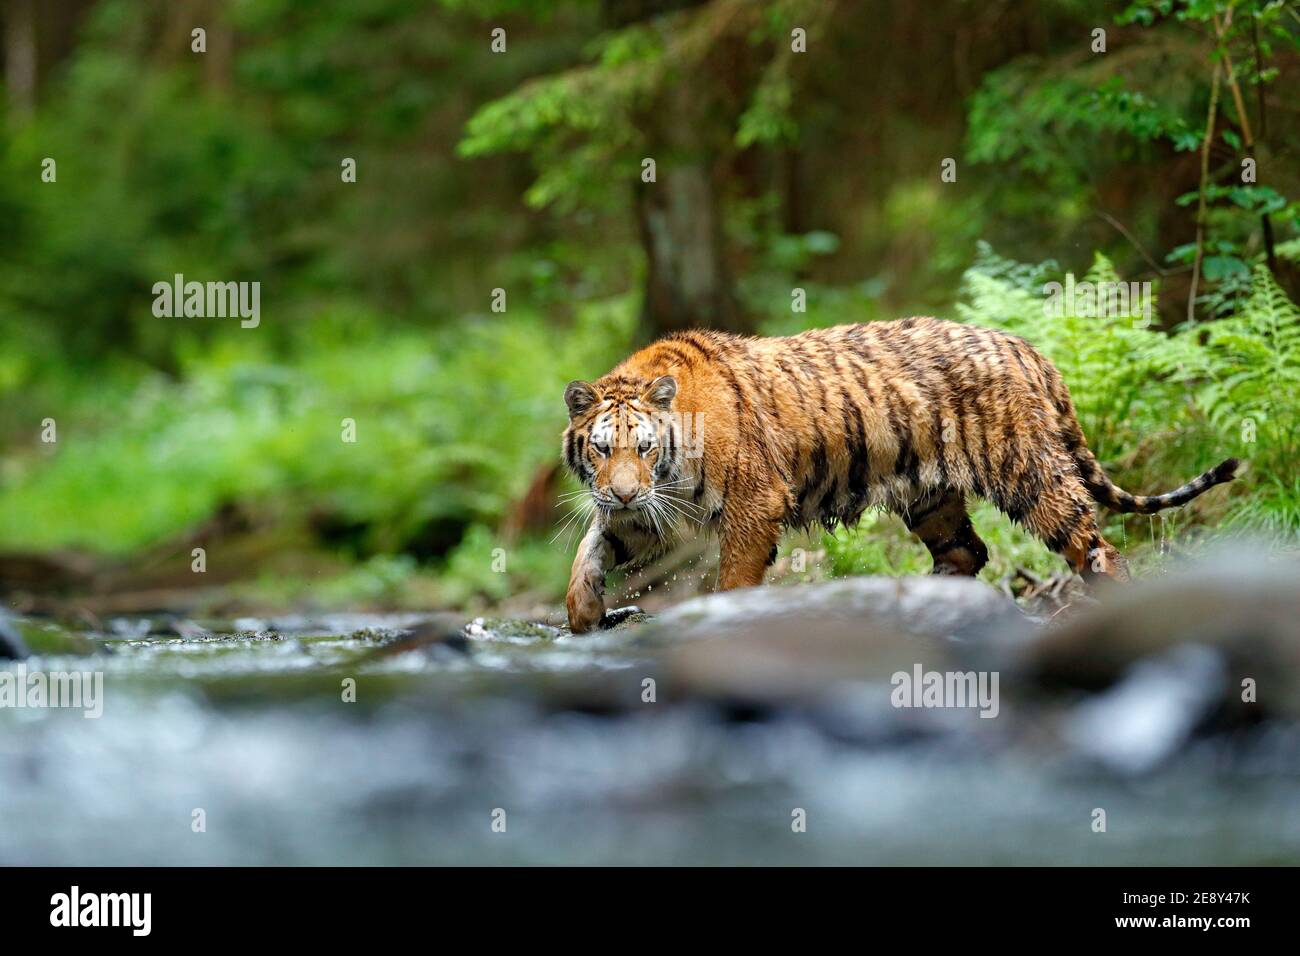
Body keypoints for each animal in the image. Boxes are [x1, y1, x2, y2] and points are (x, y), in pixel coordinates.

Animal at [560, 317, 1238, 633]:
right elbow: (590, 549)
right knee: (969, 552)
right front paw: (584, 613)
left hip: (1029, 474)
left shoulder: (753, 503)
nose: (624, 489)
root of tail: (1025, 346)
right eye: (602, 449)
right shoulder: (645, 511)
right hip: (931, 497)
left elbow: (733, 579)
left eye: (646, 448)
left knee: (1096, 546)